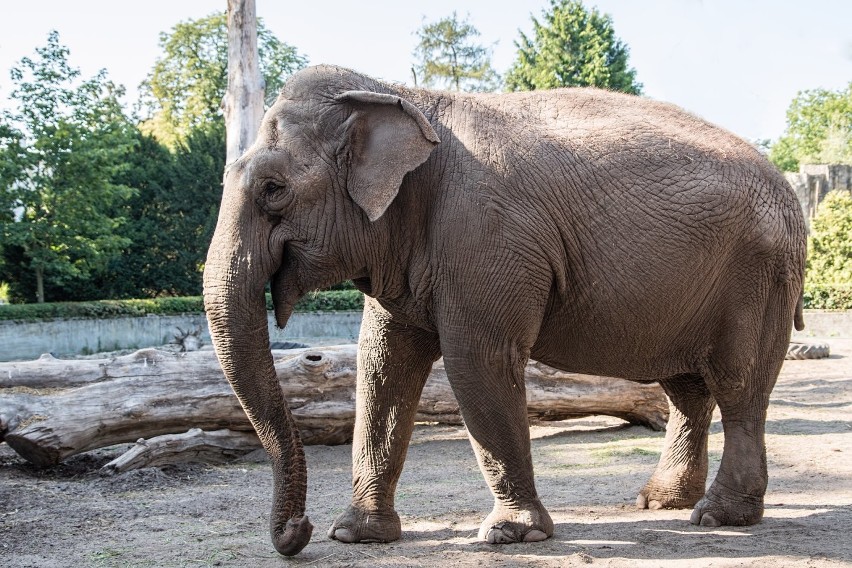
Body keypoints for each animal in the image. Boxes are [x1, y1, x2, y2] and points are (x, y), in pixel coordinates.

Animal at [205, 65, 804, 556]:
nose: (296, 532)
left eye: (273, 189)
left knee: (738, 384)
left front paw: (511, 534)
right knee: (686, 388)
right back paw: (660, 504)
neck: (397, 94)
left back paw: (719, 518)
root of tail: (788, 186)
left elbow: (477, 362)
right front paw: (355, 534)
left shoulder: (486, 237)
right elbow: (381, 366)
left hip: (759, 276)